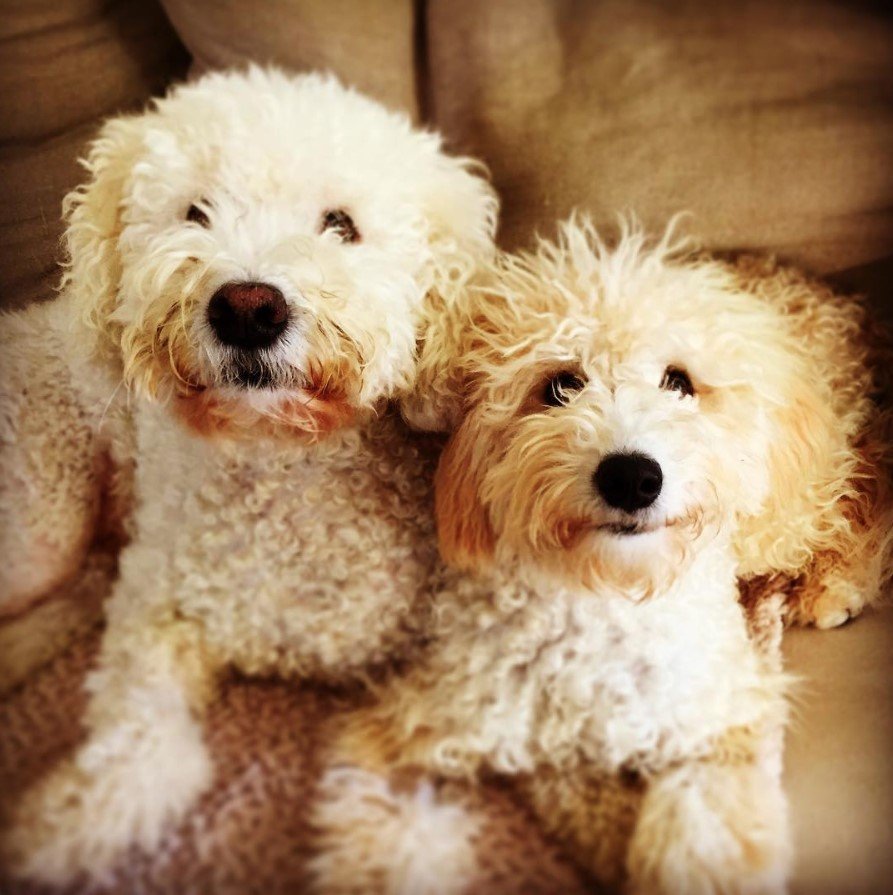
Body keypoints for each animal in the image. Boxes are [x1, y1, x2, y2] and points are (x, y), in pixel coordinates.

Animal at [0, 66, 494, 884]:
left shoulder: (410, 666)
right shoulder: (151, 609)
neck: (279, 468)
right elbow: (141, 742)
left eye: (340, 225)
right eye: (195, 211)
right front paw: (72, 823)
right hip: (42, 519)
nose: (248, 307)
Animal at [310, 219, 888, 895]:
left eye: (679, 382)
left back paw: (835, 582)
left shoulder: (722, 716)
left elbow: (703, 825)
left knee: (865, 482)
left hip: (787, 504)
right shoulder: (432, 721)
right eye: (561, 385)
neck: (606, 599)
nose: (632, 477)